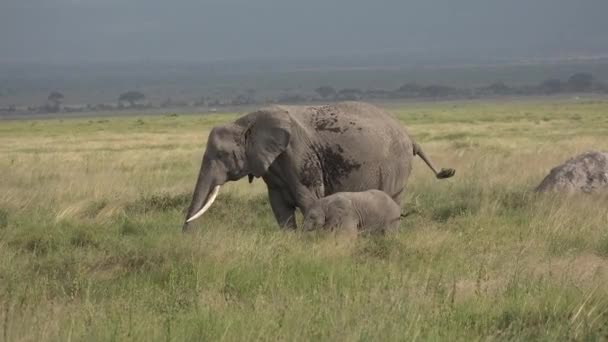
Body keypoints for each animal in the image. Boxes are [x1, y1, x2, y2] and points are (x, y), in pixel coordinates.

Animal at [183, 100, 454, 231]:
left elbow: (308, 198)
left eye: (221, 154)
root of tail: (410, 136)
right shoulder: (271, 165)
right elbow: (279, 207)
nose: (188, 236)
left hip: (395, 165)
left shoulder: (299, 155)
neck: (245, 120)